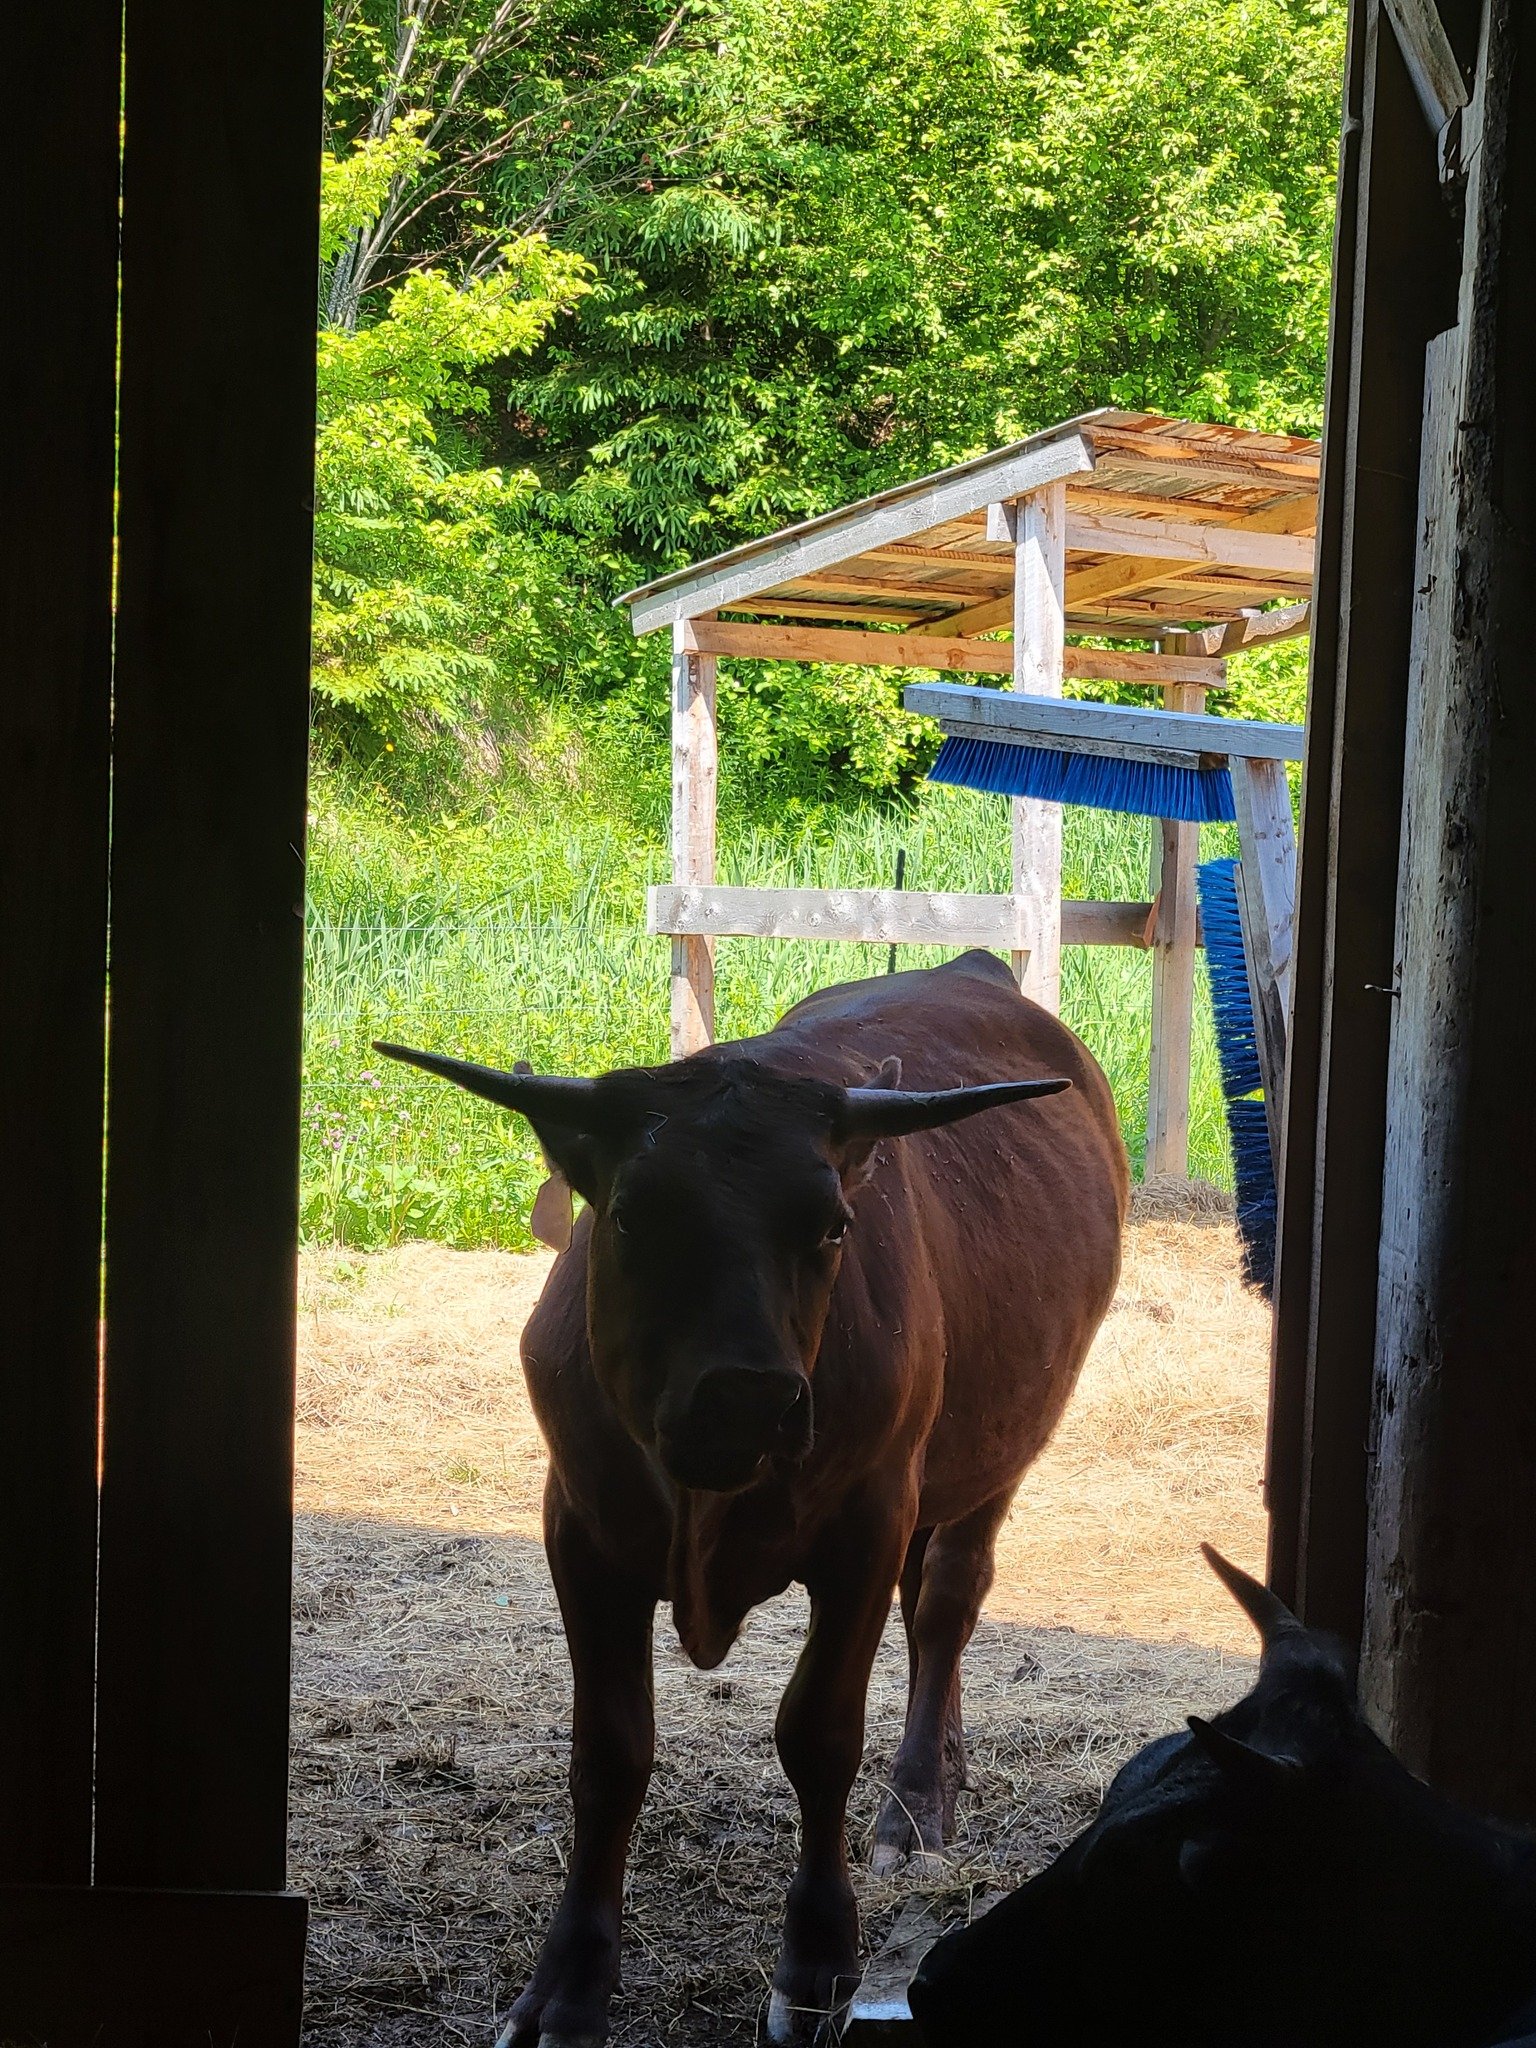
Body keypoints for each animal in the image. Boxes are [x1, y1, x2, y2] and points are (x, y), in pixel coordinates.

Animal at [377, 947, 1128, 2047]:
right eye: (633, 1214)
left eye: (833, 1226)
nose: (748, 1398)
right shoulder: (581, 1529)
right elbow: (609, 1754)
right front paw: (567, 1982)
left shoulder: (865, 1524)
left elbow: (819, 1734)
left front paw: (815, 1961)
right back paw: (941, 1774)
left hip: (1003, 1444)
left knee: (946, 1601)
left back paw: (913, 1802)